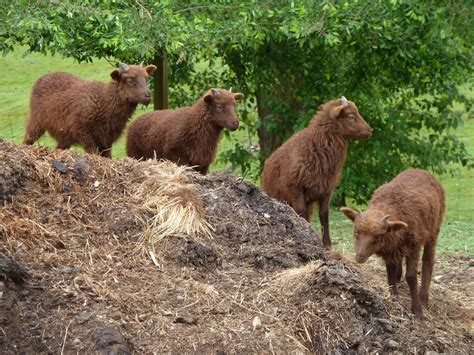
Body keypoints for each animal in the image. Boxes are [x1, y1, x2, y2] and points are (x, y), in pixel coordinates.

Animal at [23, 62, 156, 159]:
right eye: (129, 81)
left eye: (146, 79)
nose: (148, 96)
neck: (103, 101)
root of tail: (44, 77)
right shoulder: (83, 133)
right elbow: (94, 154)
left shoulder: (106, 139)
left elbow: (107, 158)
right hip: (36, 121)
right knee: (27, 140)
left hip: (65, 136)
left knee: (59, 149)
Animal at [262, 97, 372, 248]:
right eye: (350, 116)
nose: (370, 130)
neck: (316, 144)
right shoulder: (294, 186)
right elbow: (300, 212)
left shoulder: (326, 189)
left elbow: (324, 214)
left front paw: (326, 244)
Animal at [340, 168, 444, 318]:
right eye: (356, 233)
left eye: (378, 237)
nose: (359, 257)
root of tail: (419, 170)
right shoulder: (389, 250)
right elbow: (390, 276)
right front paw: (394, 300)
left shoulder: (414, 246)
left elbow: (411, 277)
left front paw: (417, 310)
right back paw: (399, 277)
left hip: (433, 230)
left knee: (428, 259)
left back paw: (423, 297)